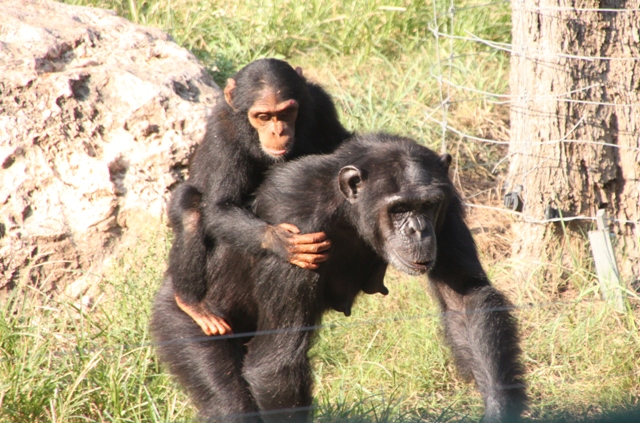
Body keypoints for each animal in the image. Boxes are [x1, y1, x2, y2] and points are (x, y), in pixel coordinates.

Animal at [152, 133, 528, 423]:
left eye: (427, 205)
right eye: (399, 208)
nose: (419, 230)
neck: (348, 209)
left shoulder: (448, 206)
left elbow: (464, 297)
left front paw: (500, 412)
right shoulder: (298, 231)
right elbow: (276, 363)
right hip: (184, 322)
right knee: (227, 400)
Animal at [168, 58, 352, 338]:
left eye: (286, 113)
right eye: (263, 117)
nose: (278, 131)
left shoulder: (323, 105)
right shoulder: (224, 133)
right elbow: (220, 206)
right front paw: (279, 240)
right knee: (191, 206)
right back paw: (192, 303)